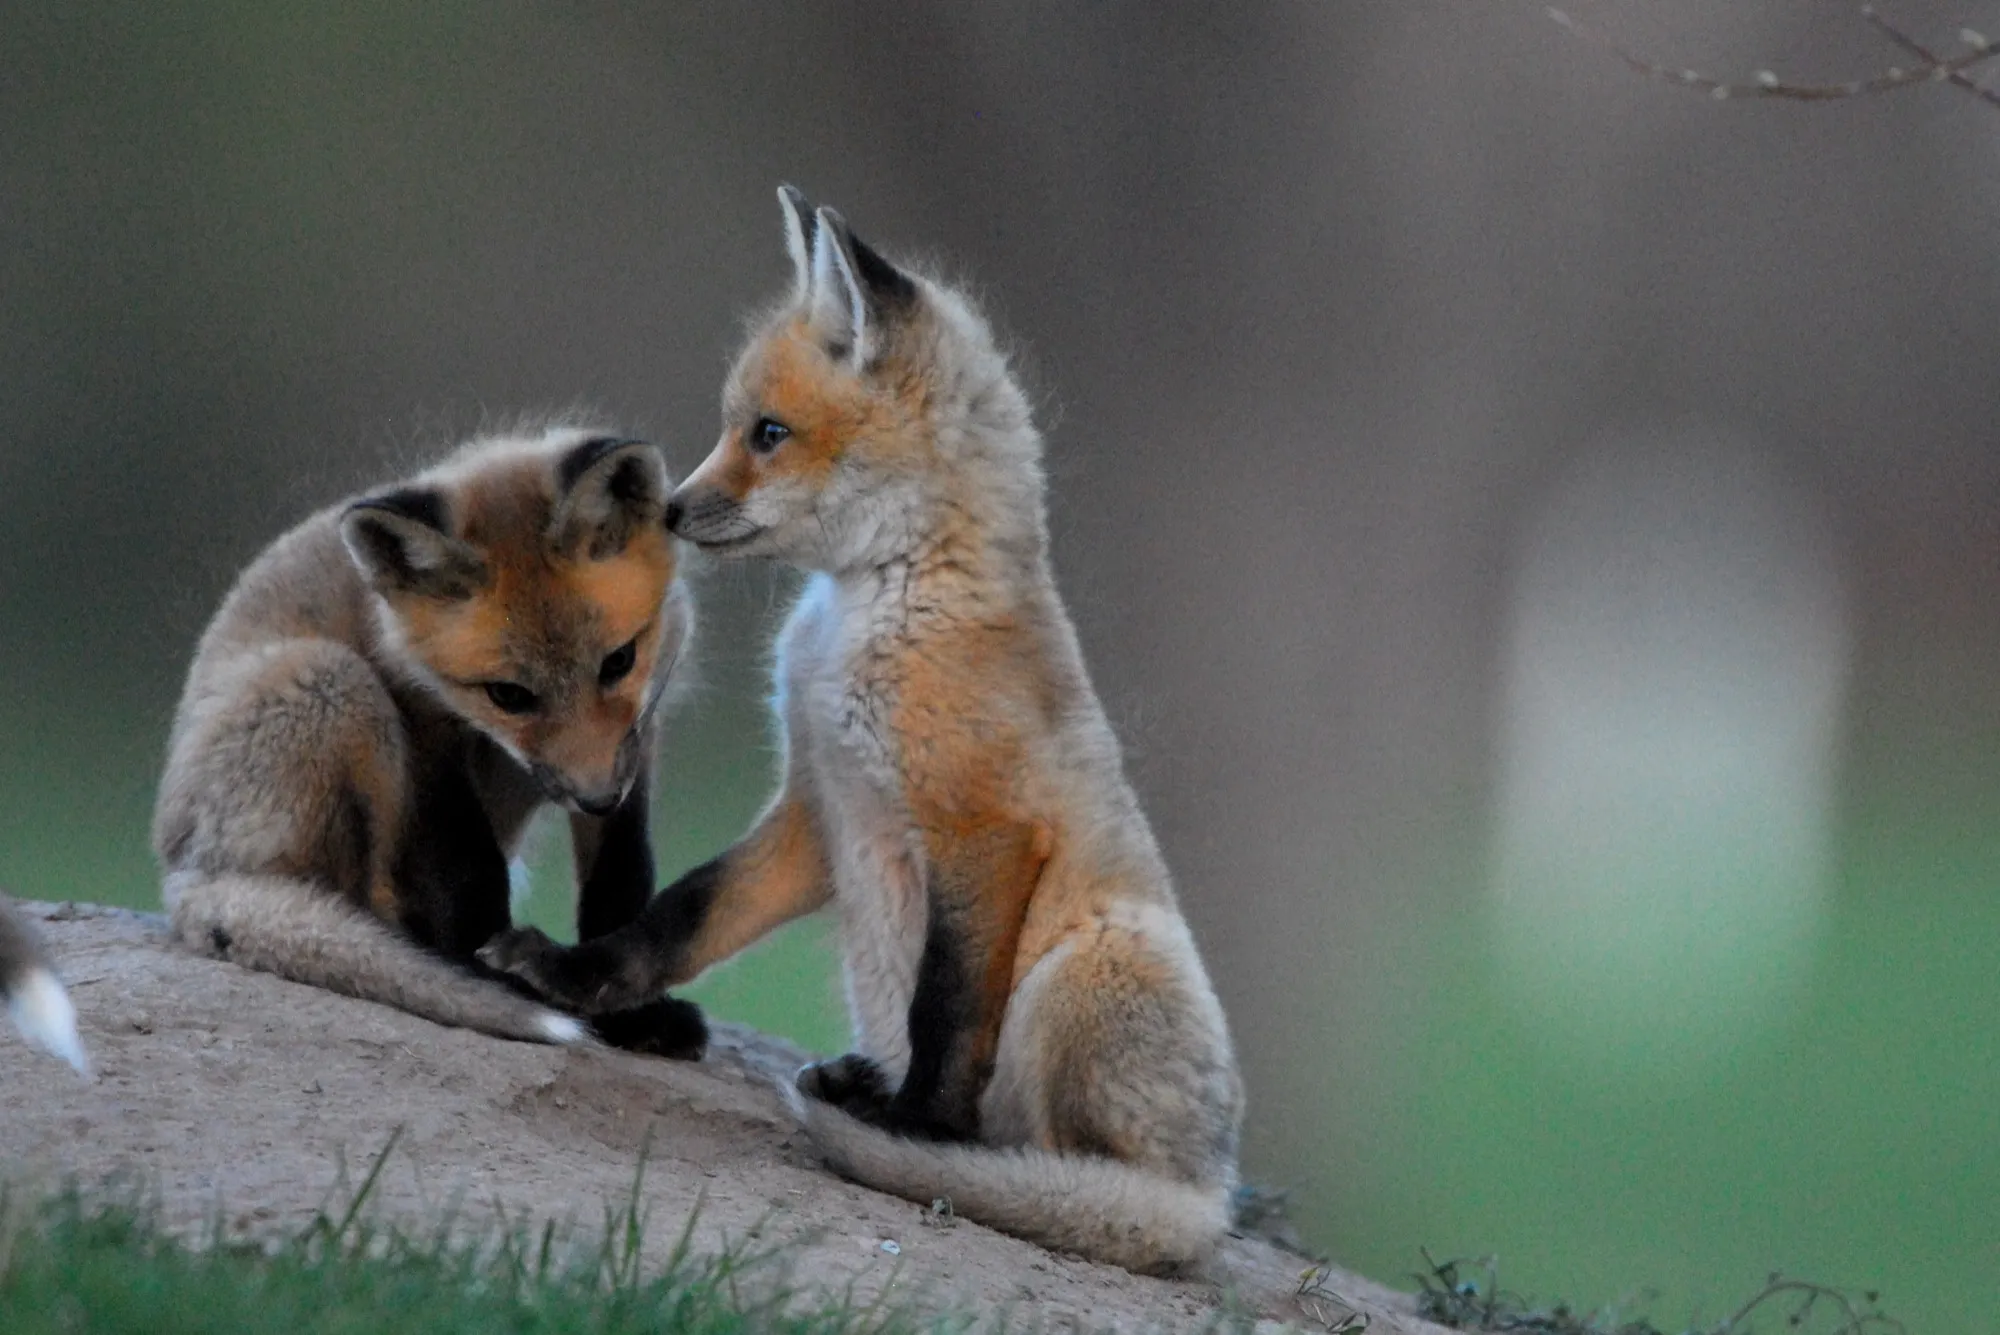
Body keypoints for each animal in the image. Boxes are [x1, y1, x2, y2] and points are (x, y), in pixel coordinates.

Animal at [153, 421, 705, 1052]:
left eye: (619, 662)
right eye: (508, 695)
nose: (595, 797)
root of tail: (181, 876)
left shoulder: (637, 731)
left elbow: (621, 877)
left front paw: (626, 1012)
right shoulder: (423, 724)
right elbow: (467, 870)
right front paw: (498, 977)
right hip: (338, 684)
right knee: (358, 902)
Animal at [481, 189, 1245, 1272]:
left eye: (767, 432)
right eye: (734, 426)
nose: (669, 511)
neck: (873, 608)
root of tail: (1209, 1195)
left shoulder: (983, 828)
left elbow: (947, 1007)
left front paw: (919, 1124)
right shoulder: (818, 805)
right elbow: (679, 916)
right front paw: (580, 978)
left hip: (1085, 968)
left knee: (1063, 1166)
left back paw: (956, 1146)